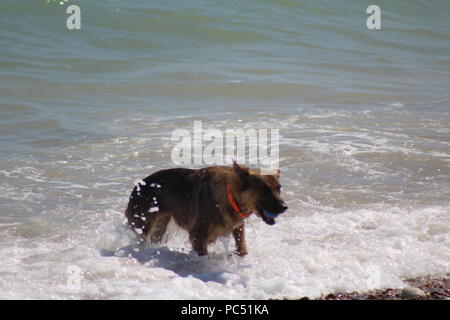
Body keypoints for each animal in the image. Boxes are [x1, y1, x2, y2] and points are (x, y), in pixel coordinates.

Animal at [125, 164, 286, 256]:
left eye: (279, 188)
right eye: (264, 190)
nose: (285, 207)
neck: (230, 196)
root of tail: (137, 187)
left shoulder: (238, 228)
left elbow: (242, 248)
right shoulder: (197, 236)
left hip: (160, 227)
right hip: (145, 225)